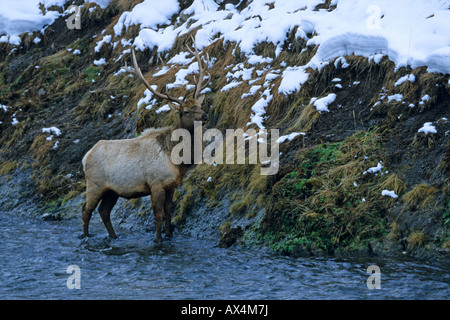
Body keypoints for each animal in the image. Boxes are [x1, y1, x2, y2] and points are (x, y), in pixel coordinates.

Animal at [81, 37, 211, 242]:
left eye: (198, 105)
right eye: (186, 111)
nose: (205, 116)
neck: (177, 160)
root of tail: (85, 156)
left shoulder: (171, 185)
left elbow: (168, 211)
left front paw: (169, 235)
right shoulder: (155, 183)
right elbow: (158, 214)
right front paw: (157, 240)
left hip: (111, 190)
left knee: (103, 211)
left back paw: (114, 236)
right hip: (95, 184)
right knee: (86, 210)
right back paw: (86, 237)